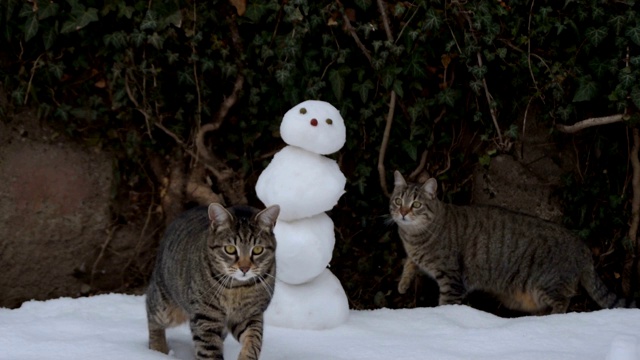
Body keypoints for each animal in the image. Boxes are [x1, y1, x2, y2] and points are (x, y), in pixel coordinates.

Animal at [149, 202, 282, 360]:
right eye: (230, 249)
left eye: (257, 250)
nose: (244, 268)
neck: (237, 288)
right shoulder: (206, 317)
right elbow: (210, 351)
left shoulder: (249, 315)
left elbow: (254, 339)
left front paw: (247, 355)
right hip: (166, 307)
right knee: (151, 313)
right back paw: (157, 349)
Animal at [390, 170, 636, 314]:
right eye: (398, 201)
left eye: (416, 205)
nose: (403, 212)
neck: (413, 236)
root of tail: (582, 247)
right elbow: (410, 262)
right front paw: (403, 283)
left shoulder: (451, 279)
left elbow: (446, 304)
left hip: (547, 284)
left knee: (563, 303)